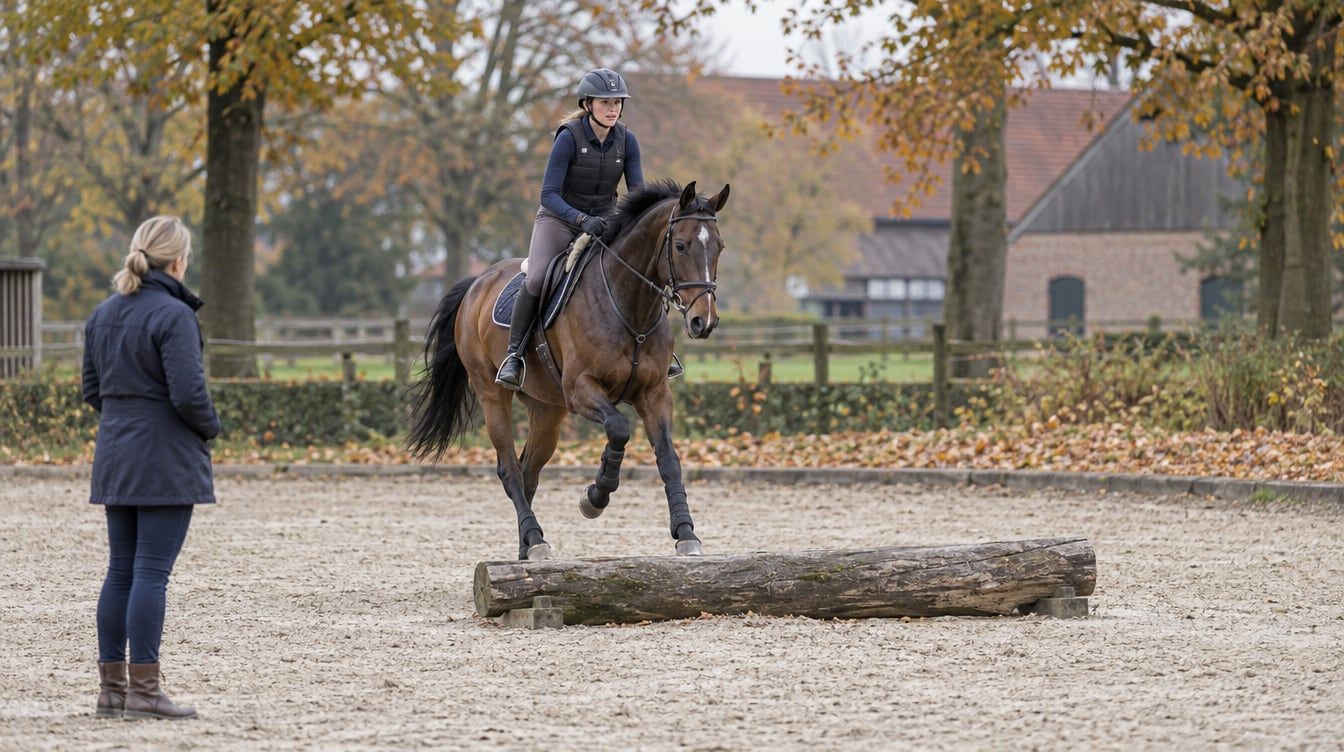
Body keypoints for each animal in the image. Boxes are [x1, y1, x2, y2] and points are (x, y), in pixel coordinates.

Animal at [407, 180, 730, 561]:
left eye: (720, 247)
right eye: (680, 246)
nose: (703, 322)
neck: (629, 304)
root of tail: (476, 283)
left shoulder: (654, 394)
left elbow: (668, 458)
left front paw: (686, 533)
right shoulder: (580, 390)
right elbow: (619, 427)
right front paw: (596, 496)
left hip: (547, 411)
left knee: (529, 470)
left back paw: (528, 545)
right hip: (492, 395)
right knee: (510, 469)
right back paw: (536, 541)